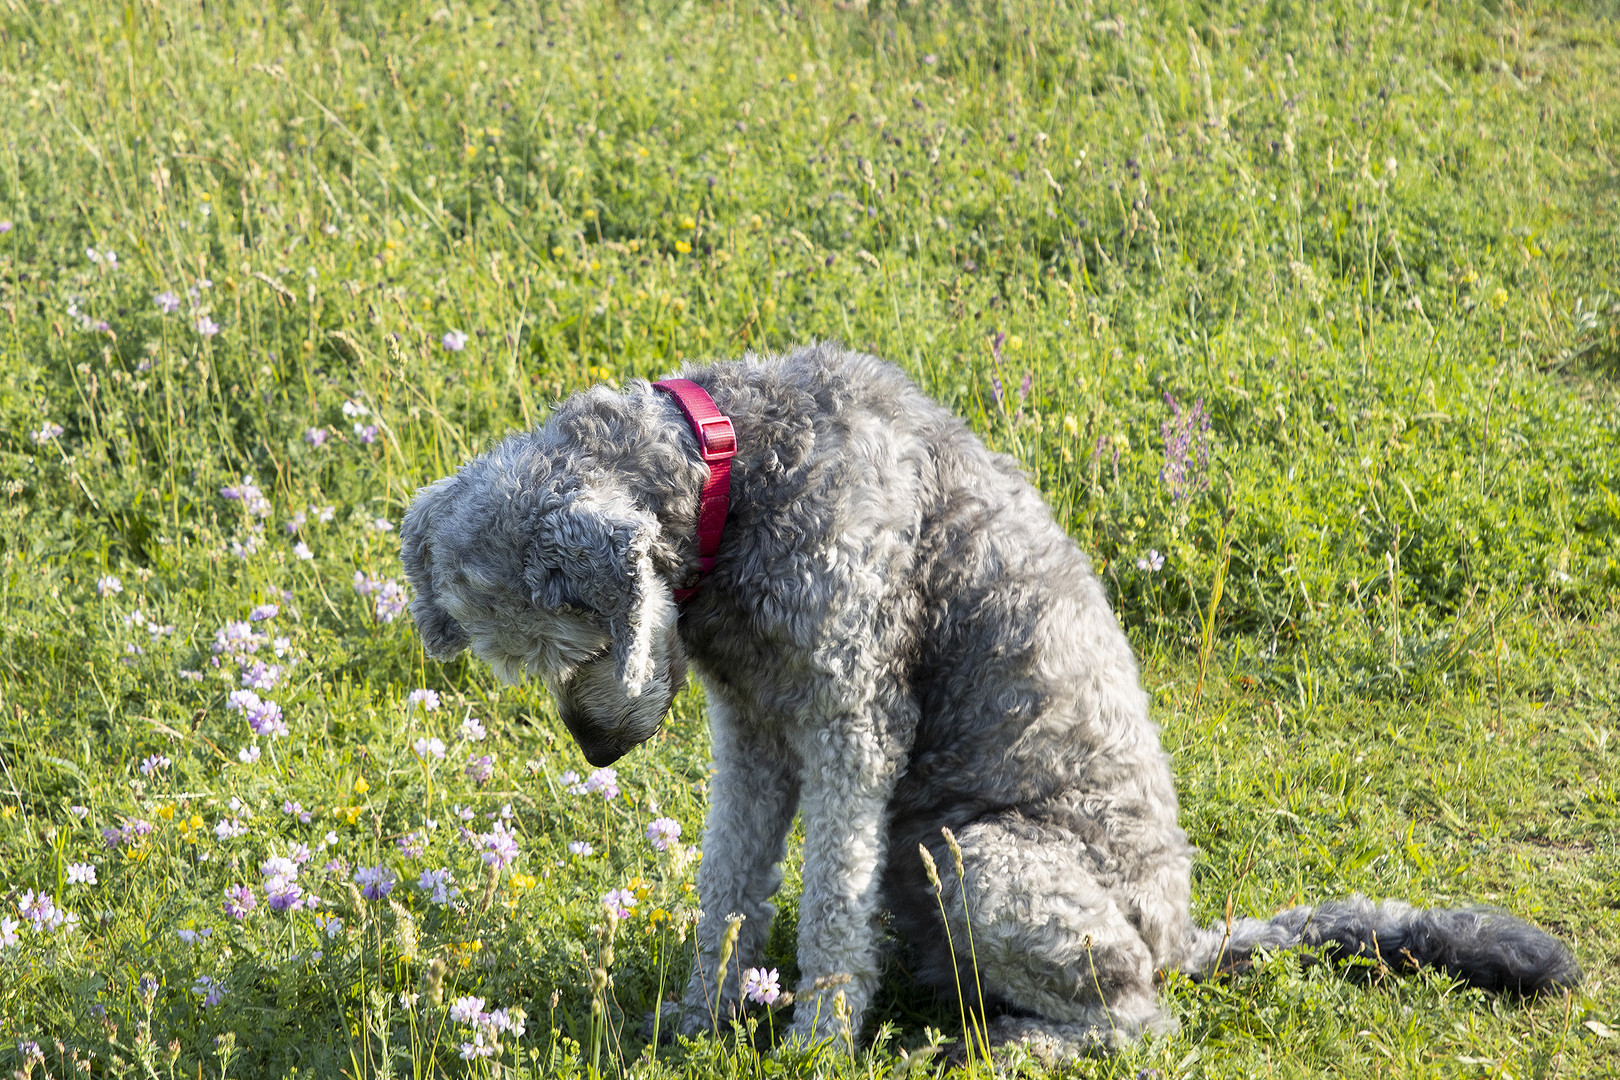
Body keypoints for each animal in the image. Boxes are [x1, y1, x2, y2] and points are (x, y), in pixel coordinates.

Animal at [401, 348, 1581, 1062]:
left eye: (575, 643)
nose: (595, 751)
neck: (747, 468)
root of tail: (1184, 935)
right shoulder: (753, 737)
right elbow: (727, 890)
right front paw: (698, 1022)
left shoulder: (852, 727)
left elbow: (830, 905)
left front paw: (817, 1044)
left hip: (979, 859)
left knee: (1140, 1022)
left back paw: (1014, 1046)